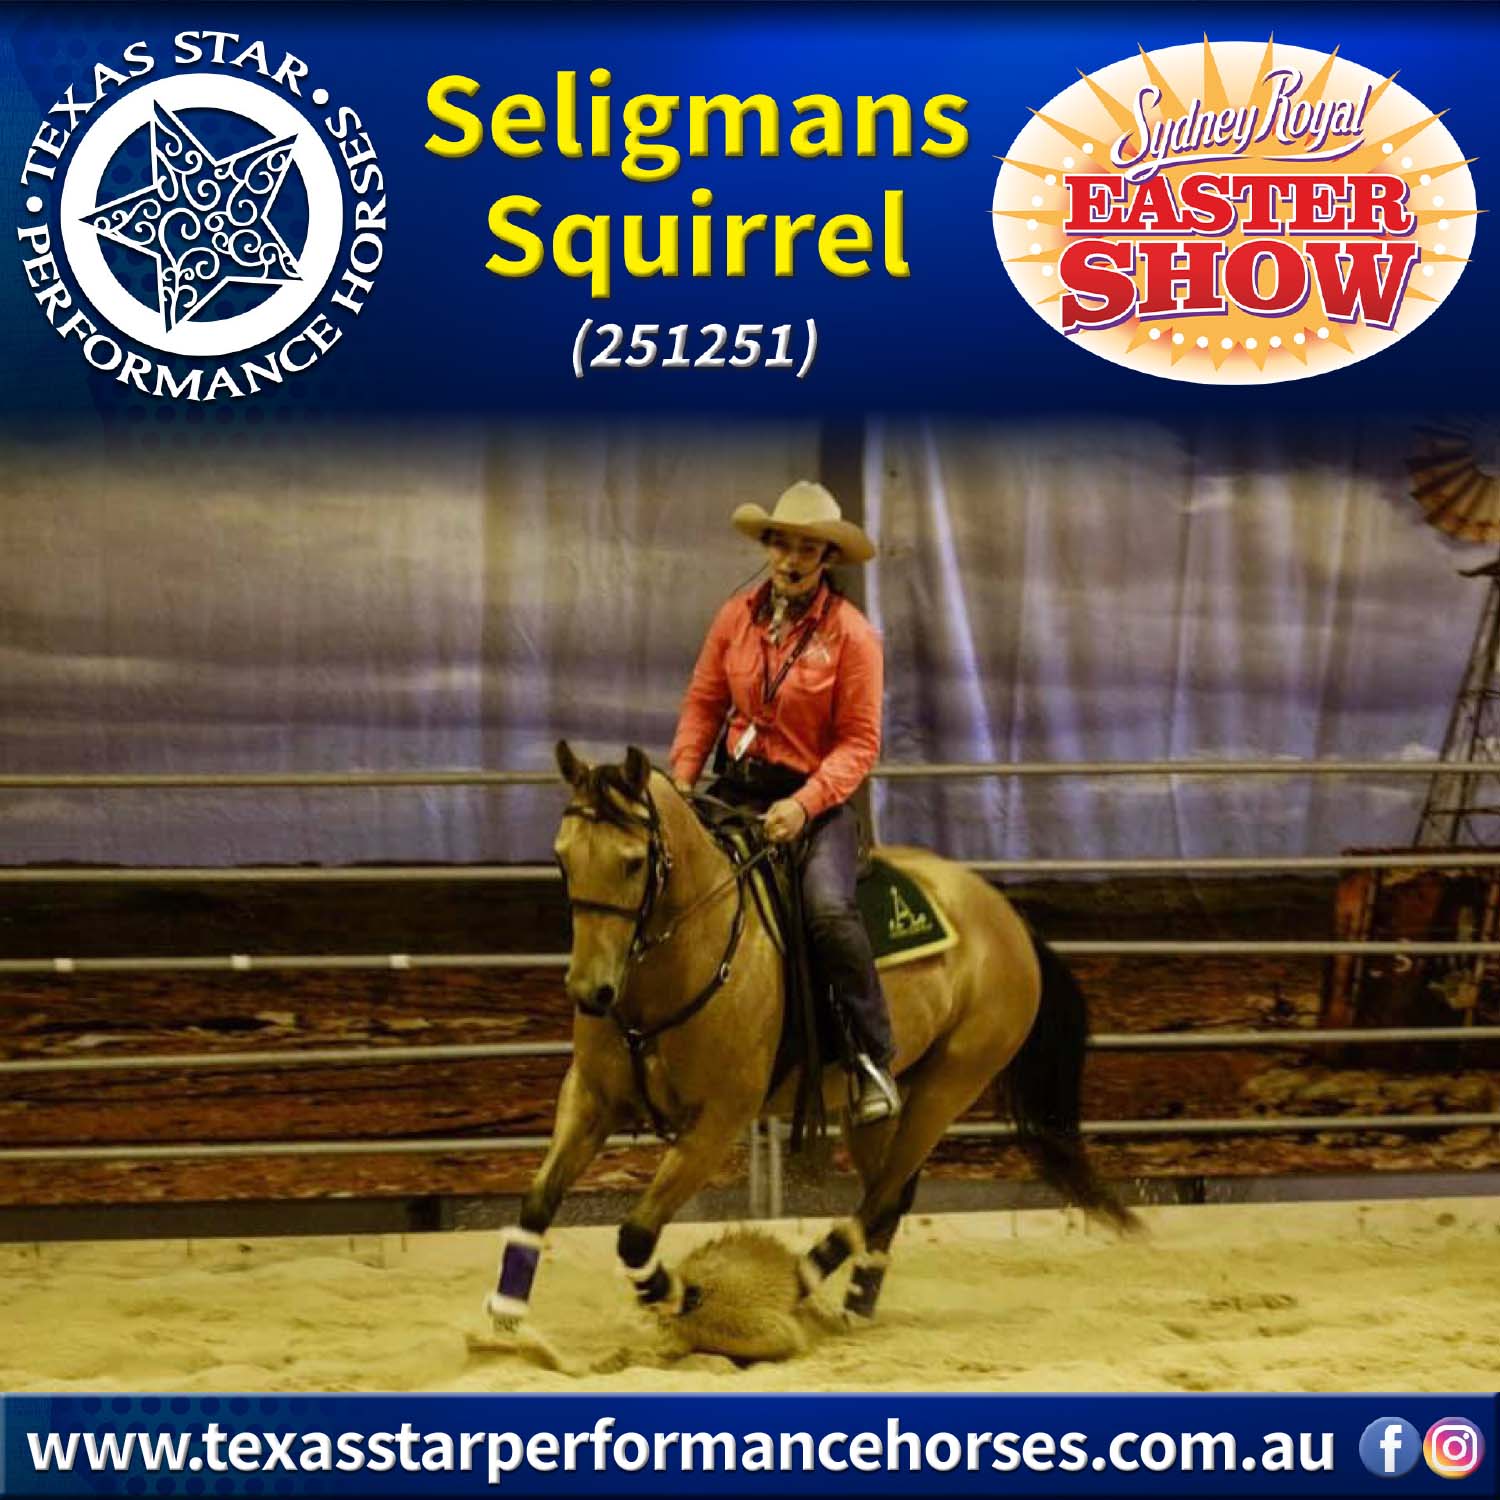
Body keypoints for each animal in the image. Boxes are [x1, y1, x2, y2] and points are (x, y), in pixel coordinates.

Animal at [486, 742, 1134, 1334]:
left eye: (633, 862)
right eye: (562, 857)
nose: (590, 990)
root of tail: (1009, 920)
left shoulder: (717, 1119)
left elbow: (637, 1233)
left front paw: (684, 1295)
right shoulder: (590, 1095)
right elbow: (539, 1199)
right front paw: (506, 1312)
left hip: (949, 1086)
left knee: (879, 1199)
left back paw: (800, 1280)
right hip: (876, 1105)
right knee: (890, 1197)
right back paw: (856, 1305)